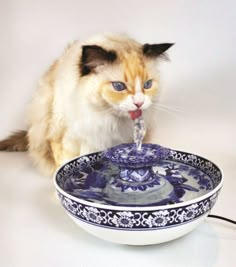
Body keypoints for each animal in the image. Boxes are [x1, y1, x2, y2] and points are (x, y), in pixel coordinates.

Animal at [0, 33, 173, 176]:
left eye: (147, 84)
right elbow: (65, 165)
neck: (109, 121)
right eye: (119, 86)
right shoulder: (65, 138)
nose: (139, 103)